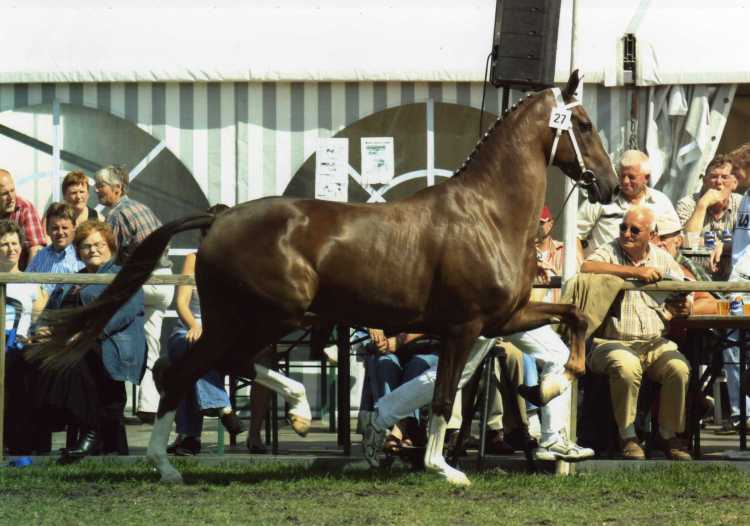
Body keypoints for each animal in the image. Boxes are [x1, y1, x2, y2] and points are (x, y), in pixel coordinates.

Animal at [27, 70, 617, 486]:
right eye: (585, 125)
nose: (609, 186)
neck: (487, 214)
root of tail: (219, 217)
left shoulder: (504, 317)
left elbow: (575, 319)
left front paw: (556, 385)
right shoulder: (463, 327)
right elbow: (444, 395)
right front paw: (445, 469)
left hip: (255, 318)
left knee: (211, 366)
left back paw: (290, 415)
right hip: (270, 313)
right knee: (192, 368)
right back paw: (190, 455)